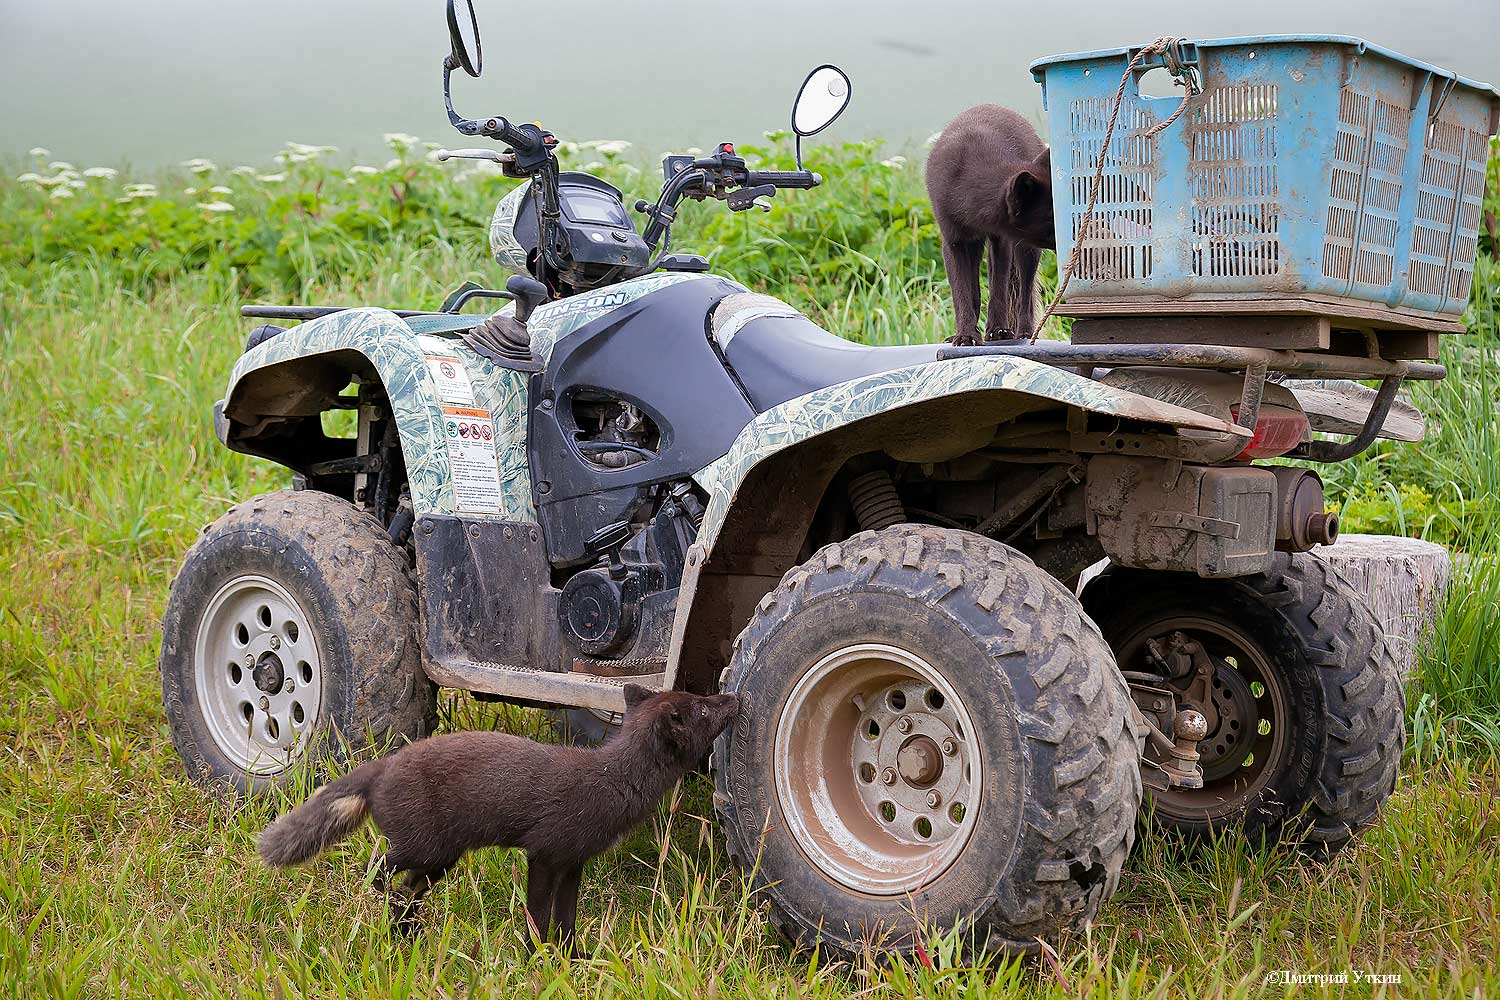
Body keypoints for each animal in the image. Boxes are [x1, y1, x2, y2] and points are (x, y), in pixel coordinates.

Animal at [264, 683, 744, 953]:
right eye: (703, 709)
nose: (735, 696)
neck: (610, 781)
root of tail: (381, 768)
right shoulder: (545, 853)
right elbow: (538, 913)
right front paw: (535, 958)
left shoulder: (575, 861)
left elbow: (567, 919)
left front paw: (573, 959)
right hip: (425, 847)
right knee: (377, 869)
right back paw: (393, 914)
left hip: (441, 860)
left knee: (406, 890)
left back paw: (409, 933)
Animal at [924, 101, 1056, 344]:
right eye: (1051, 217)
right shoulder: (952, 242)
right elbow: (963, 294)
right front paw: (965, 335)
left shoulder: (1000, 240)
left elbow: (998, 289)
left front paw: (998, 331)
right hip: (976, 246)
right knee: (975, 292)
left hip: (1025, 250)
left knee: (1024, 295)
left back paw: (1024, 332)